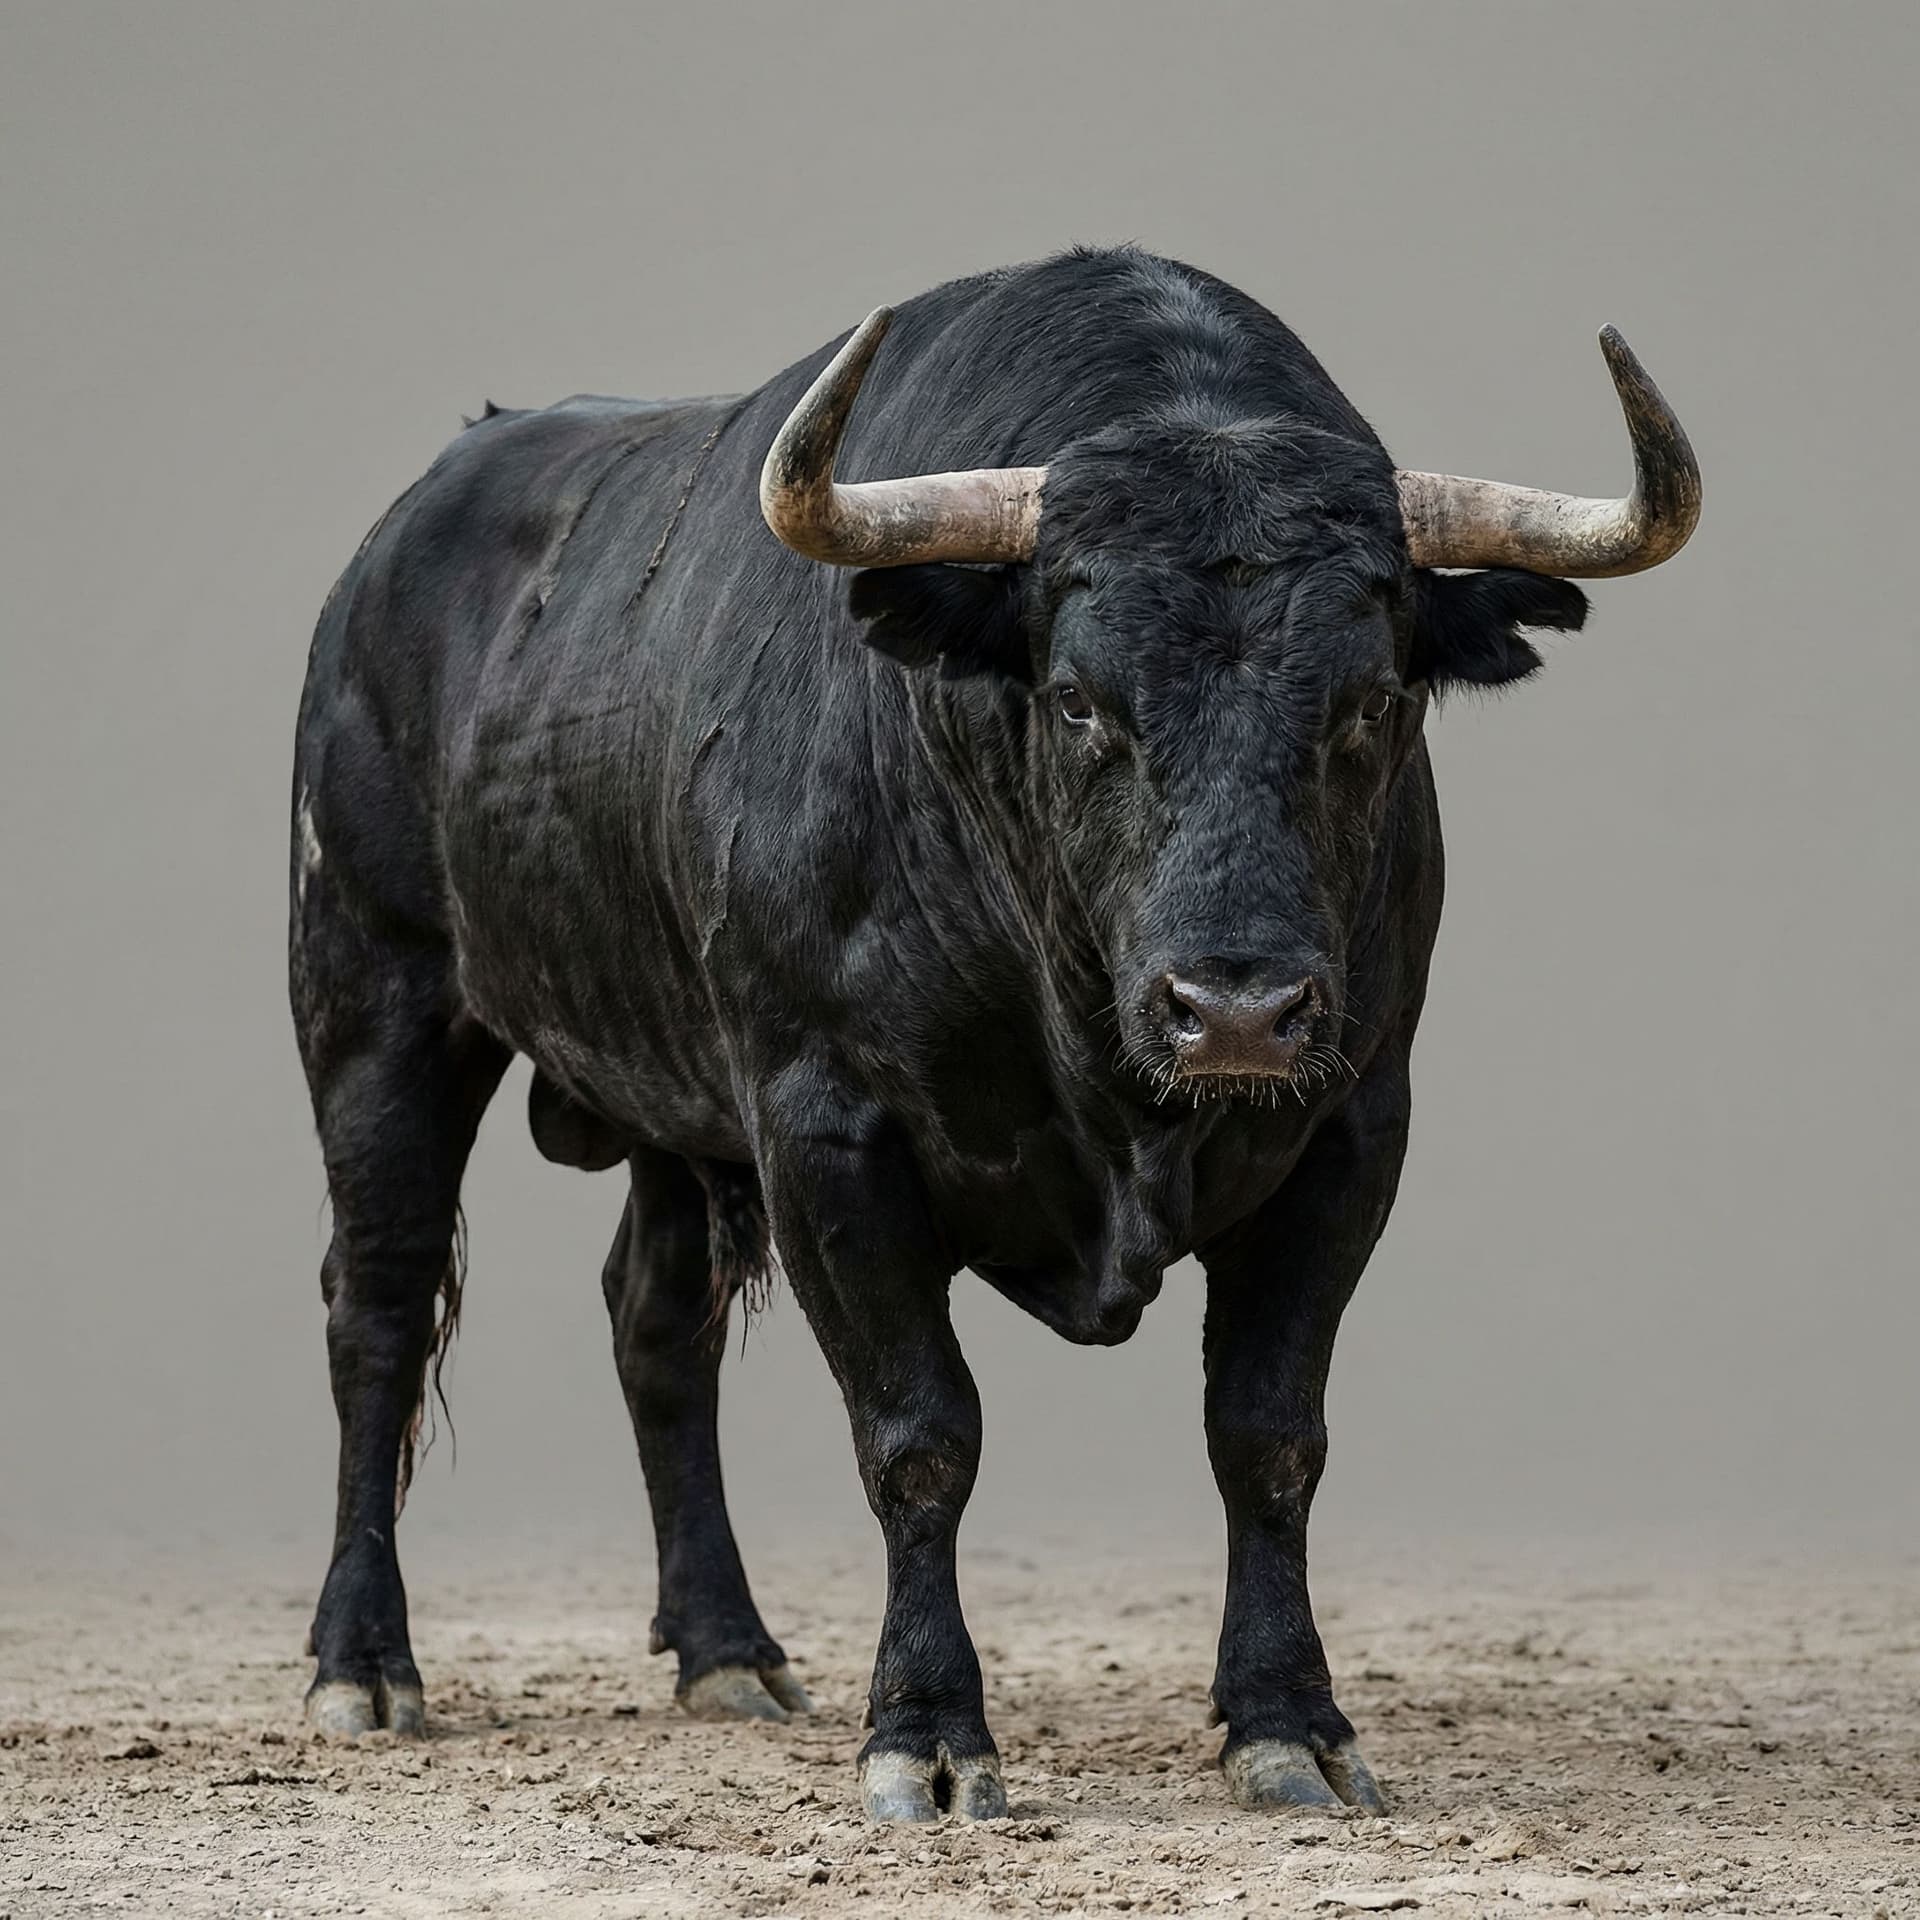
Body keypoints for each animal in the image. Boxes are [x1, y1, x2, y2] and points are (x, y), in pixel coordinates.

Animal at [289, 246, 1698, 1822]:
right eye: (1079, 700)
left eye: (1375, 703)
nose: (1237, 1013)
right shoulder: (826, 1131)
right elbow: (921, 1436)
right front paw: (925, 1733)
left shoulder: (1352, 1126)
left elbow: (1268, 1433)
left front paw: (1291, 1723)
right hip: (374, 997)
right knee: (379, 1308)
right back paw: (363, 1665)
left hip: (666, 1088)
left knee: (653, 1322)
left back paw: (727, 1652)